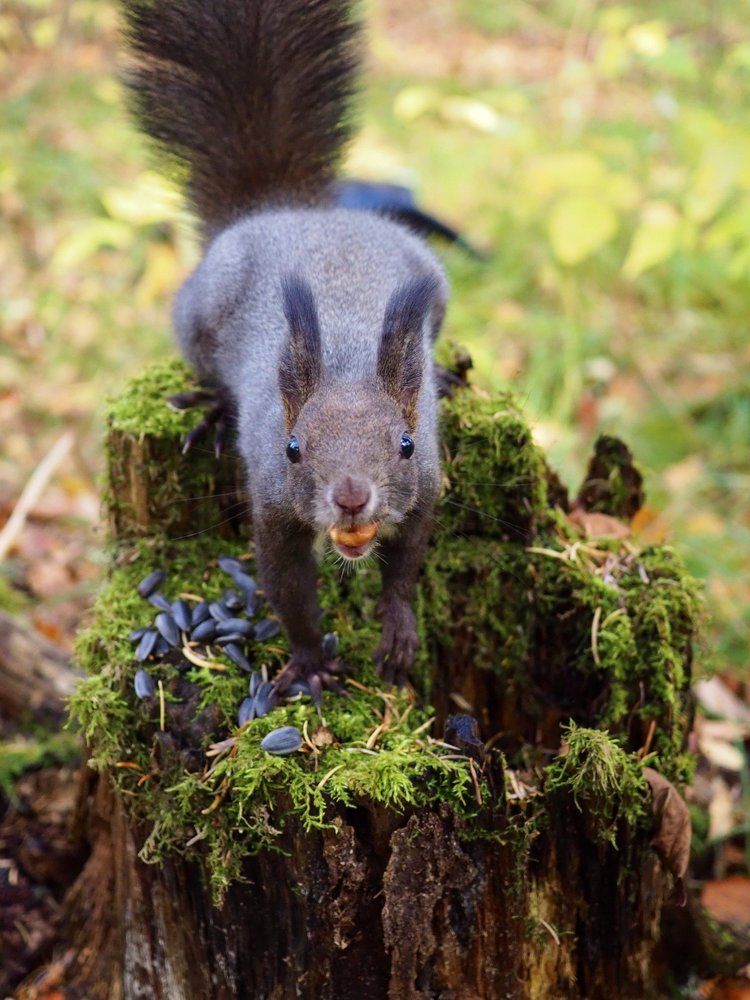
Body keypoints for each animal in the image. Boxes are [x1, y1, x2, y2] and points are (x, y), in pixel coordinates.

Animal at [121, 0, 449, 698]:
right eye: (294, 448)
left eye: (406, 445)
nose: (351, 498)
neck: (347, 362)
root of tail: (286, 208)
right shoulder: (272, 502)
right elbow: (287, 586)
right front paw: (309, 661)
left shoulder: (427, 484)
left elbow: (406, 563)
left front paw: (398, 630)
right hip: (196, 315)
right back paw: (216, 410)